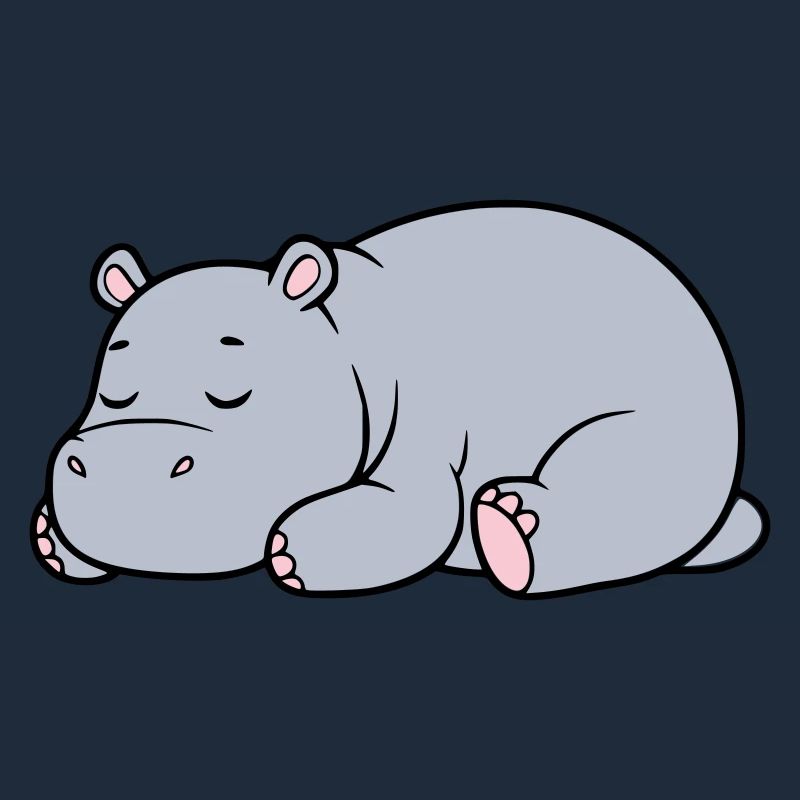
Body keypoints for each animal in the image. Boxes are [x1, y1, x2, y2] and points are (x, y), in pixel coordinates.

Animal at [31, 203, 768, 597]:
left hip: (656, 424)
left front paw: (294, 553)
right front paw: (52, 541)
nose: (121, 470)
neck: (334, 335)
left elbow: (408, 512)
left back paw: (508, 530)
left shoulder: (424, 437)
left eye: (232, 388)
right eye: (112, 386)